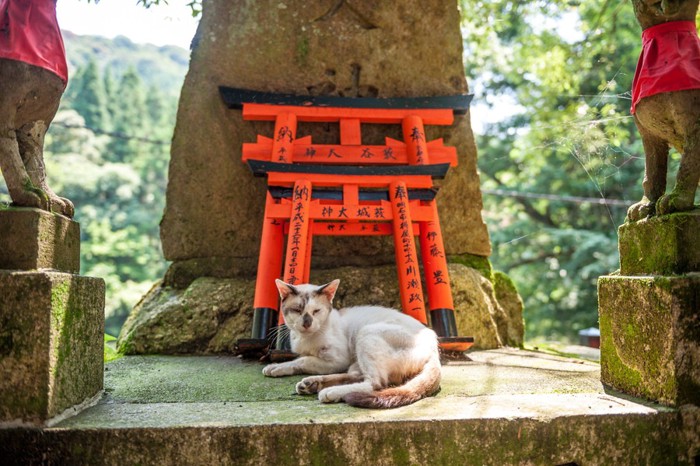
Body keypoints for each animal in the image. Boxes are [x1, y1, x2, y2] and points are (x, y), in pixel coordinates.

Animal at [262, 280, 442, 408]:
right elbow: (298, 359)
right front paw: (276, 367)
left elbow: (303, 360)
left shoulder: (337, 360)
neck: (304, 339)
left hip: (367, 332)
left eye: (316, 311)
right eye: (297, 310)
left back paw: (330, 392)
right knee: (356, 376)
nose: (307, 323)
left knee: (376, 383)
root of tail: (434, 347)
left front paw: (278, 366)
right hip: (359, 357)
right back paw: (312, 384)